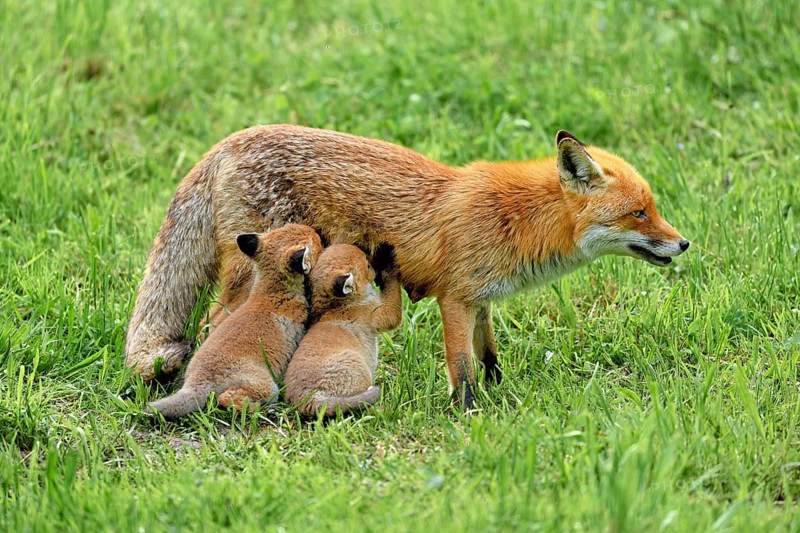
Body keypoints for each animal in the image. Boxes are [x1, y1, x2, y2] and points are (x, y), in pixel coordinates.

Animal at [146, 224, 323, 418]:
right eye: (316, 240)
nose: (318, 232)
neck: (271, 293)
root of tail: (198, 379)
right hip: (267, 386)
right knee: (226, 399)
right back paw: (258, 409)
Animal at [284, 243, 402, 417]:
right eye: (368, 264)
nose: (376, 262)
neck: (338, 306)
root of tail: (306, 399)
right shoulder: (381, 314)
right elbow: (394, 296)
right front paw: (391, 268)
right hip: (359, 371)